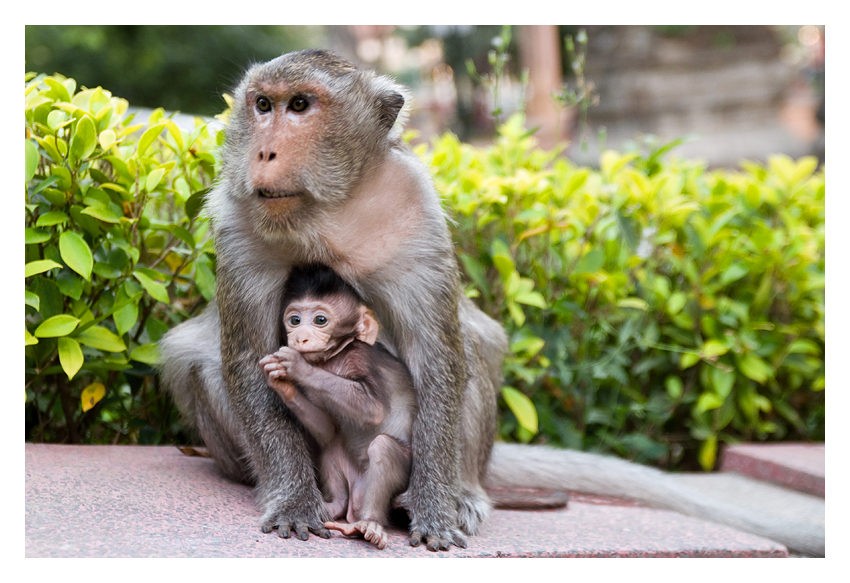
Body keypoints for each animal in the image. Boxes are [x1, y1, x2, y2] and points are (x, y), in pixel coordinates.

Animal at [260, 266, 416, 552]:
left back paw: (370, 523)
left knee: (383, 448)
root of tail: (355, 504)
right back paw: (329, 508)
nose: (300, 337)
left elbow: (373, 409)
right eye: (295, 320)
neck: (334, 359)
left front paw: (296, 366)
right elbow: (328, 429)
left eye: (320, 320)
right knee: (332, 445)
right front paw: (281, 382)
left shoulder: (360, 358)